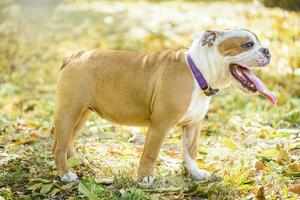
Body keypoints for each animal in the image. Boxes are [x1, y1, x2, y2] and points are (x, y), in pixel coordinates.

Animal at [52, 28, 276, 184]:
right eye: (247, 44)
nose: (267, 50)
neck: (199, 71)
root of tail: (76, 55)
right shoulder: (160, 125)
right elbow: (150, 153)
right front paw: (145, 178)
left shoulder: (193, 126)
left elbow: (190, 152)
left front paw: (196, 173)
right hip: (69, 111)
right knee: (58, 145)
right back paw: (66, 174)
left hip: (82, 113)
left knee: (69, 139)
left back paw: (76, 161)